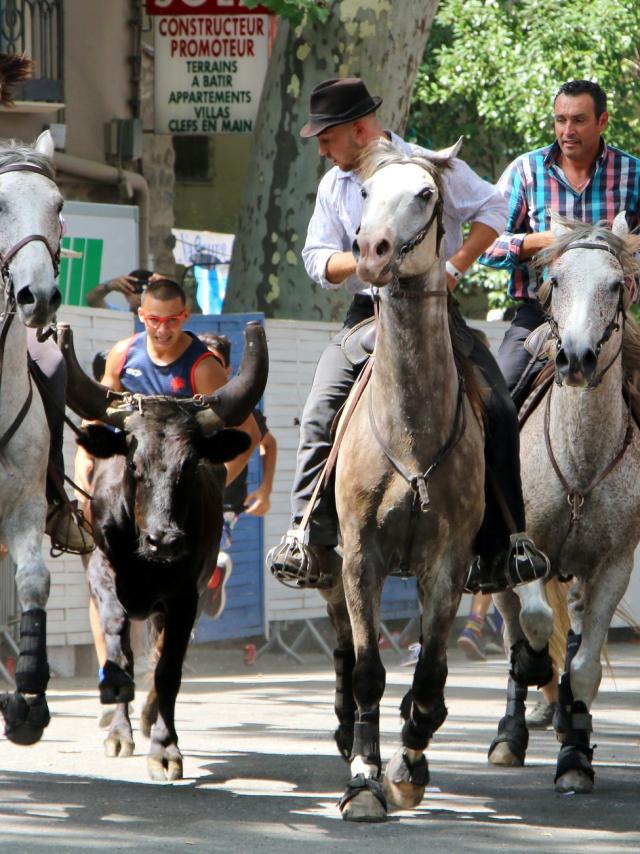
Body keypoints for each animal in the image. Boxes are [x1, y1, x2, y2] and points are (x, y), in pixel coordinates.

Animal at [59, 320, 268, 784]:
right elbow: (117, 641)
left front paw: (165, 749)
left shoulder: (185, 596)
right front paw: (118, 721)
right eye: (134, 465)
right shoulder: (103, 575)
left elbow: (168, 667)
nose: (165, 540)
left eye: (189, 466)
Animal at [488, 214, 640, 796]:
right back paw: (510, 734)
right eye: (555, 281)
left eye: (616, 285)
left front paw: (576, 756)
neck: (579, 463)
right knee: (514, 627)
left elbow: (584, 668)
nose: (575, 359)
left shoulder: (614, 564)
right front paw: (532, 673)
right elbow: (532, 622)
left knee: (572, 639)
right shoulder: (522, 549)